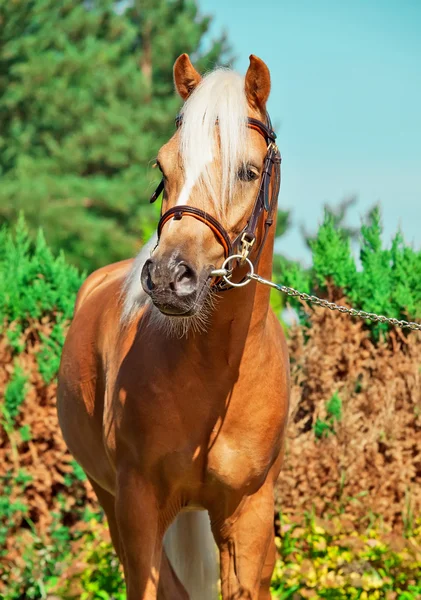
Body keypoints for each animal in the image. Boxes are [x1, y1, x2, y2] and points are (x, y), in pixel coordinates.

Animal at [57, 54, 288, 596]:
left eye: (247, 171)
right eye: (163, 167)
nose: (167, 277)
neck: (215, 372)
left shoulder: (248, 516)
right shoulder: (138, 508)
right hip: (109, 499)